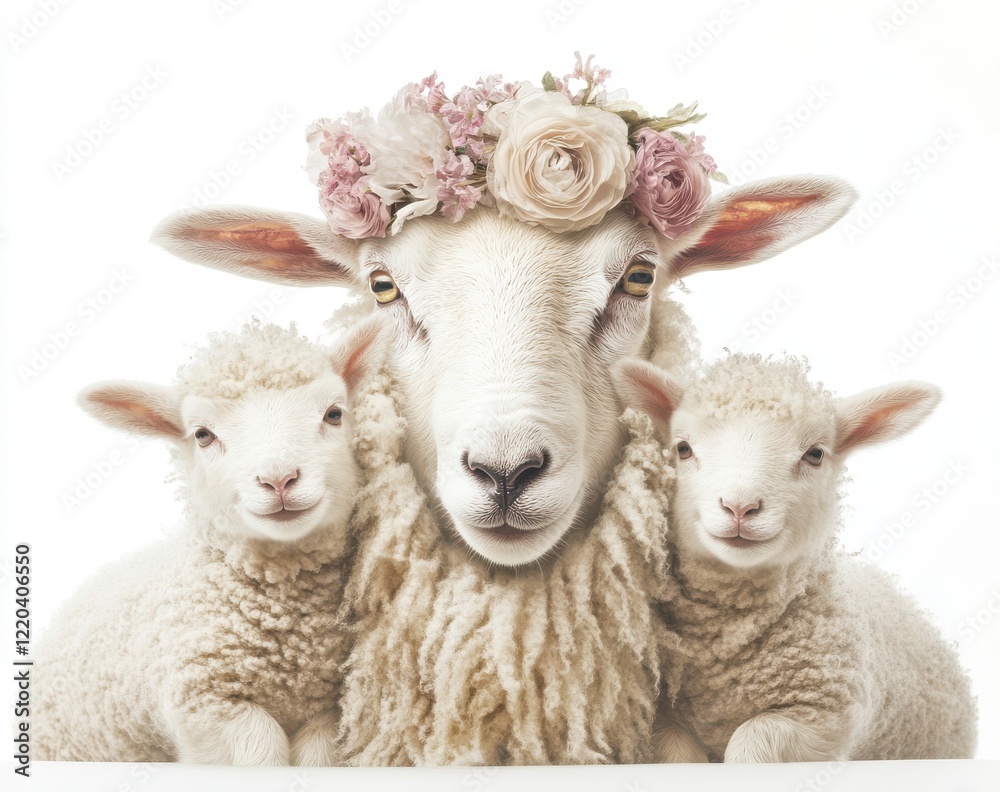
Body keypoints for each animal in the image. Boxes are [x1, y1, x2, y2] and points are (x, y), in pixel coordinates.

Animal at [32, 317, 387, 765]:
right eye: (202, 435)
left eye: (334, 413)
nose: (279, 480)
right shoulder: (205, 704)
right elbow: (261, 751)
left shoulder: (331, 708)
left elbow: (318, 756)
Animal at [611, 353, 977, 762]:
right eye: (683, 448)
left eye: (814, 454)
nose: (740, 507)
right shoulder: (657, 717)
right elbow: (677, 753)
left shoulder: (823, 715)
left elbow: (752, 741)